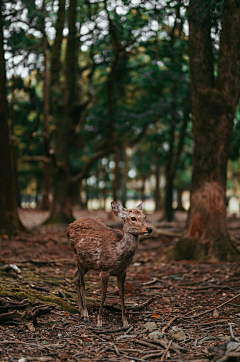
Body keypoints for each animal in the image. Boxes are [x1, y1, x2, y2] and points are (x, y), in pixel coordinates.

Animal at [66, 202, 152, 330]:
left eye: (145, 216)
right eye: (133, 218)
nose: (149, 229)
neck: (118, 253)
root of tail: (69, 226)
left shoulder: (123, 271)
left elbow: (122, 294)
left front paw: (125, 322)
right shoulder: (104, 269)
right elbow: (103, 295)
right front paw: (99, 322)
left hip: (87, 263)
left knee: (75, 276)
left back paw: (81, 312)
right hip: (76, 255)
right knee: (82, 283)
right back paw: (86, 315)